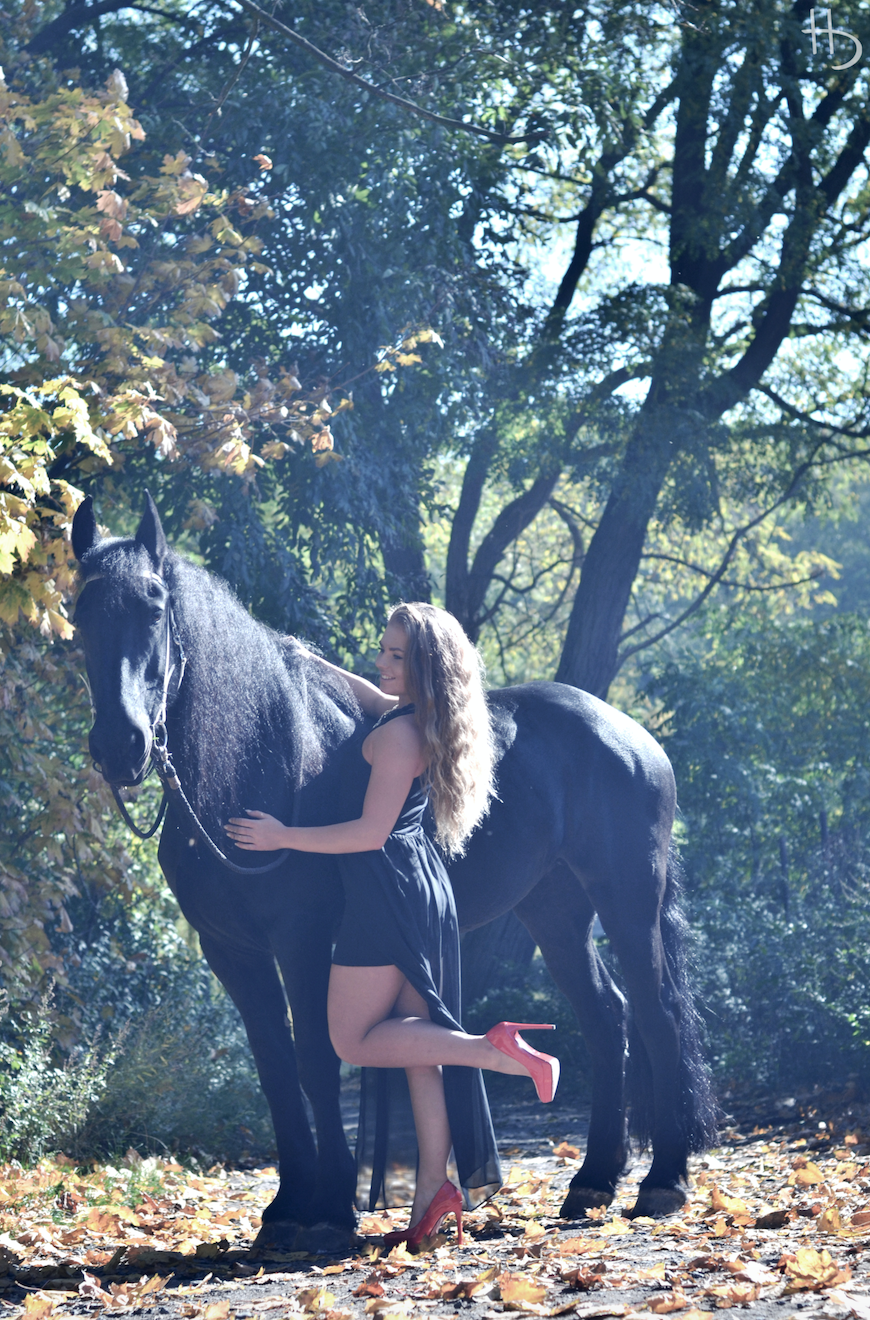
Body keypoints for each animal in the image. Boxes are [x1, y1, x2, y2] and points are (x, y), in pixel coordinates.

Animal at [70, 492, 717, 1253]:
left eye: (153, 605)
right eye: (80, 613)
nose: (121, 745)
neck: (258, 764)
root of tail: (629, 731)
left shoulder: (303, 942)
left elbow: (316, 1060)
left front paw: (327, 1208)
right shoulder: (231, 952)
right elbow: (274, 1070)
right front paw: (285, 1209)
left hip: (626, 900)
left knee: (655, 1014)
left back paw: (662, 1182)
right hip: (554, 912)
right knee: (606, 1015)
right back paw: (592, 1182)